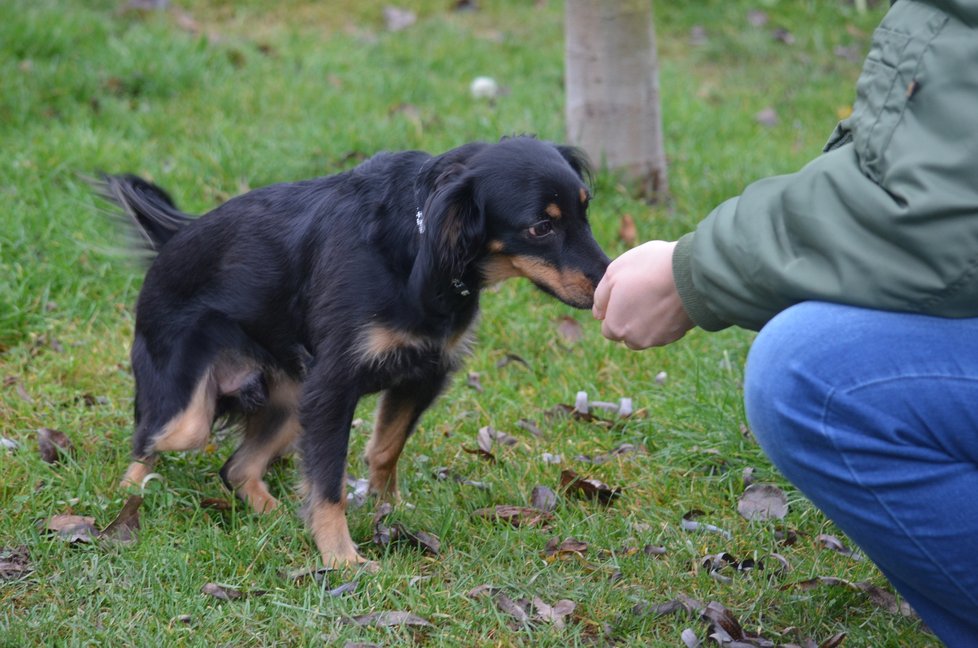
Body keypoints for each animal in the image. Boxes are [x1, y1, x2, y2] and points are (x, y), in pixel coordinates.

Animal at [97, 138, 604, 568]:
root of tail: (173, 241)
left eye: (586, 211)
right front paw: (341, 557)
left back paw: (277, 513)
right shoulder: (333, 385)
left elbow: (385, 450)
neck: (418, 241)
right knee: (149, 442)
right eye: (541, 227)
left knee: (236, 469)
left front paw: (384, 510)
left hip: (291, 400)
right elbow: (329, 484)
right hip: (191, 411)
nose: (606, 281)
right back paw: (126, 501)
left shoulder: (422, 374)